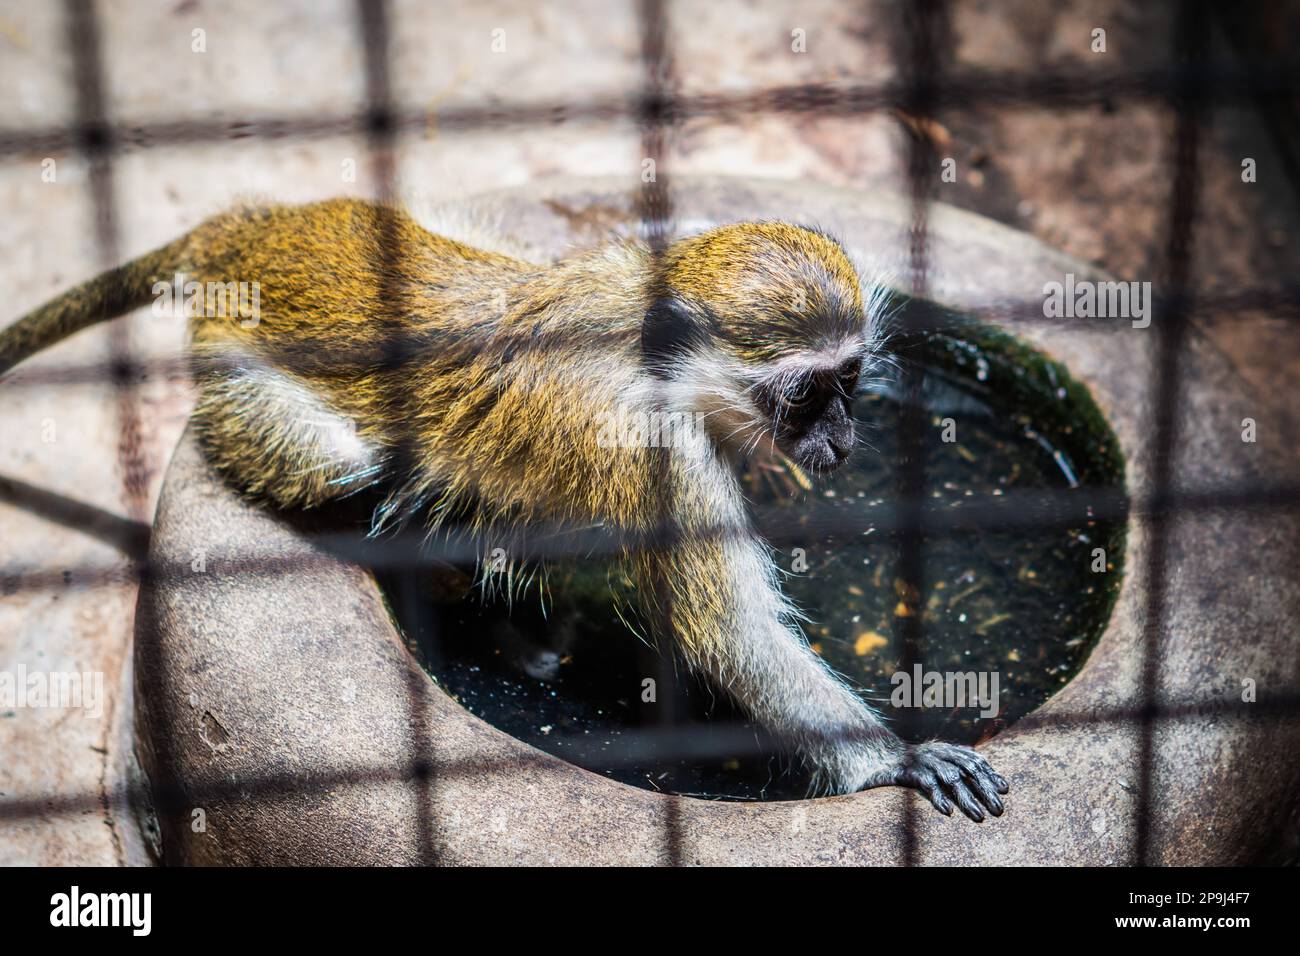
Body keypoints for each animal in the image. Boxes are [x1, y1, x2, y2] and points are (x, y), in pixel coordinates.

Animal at [0, 198, 1007, 820]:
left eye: (850, 381)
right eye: (806, 395)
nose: (839, 441)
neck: (660, 364)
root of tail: (260, 236)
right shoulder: (658, 456)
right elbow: (735, 637)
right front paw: (894, 759)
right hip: (236, 364)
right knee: (350, 466)